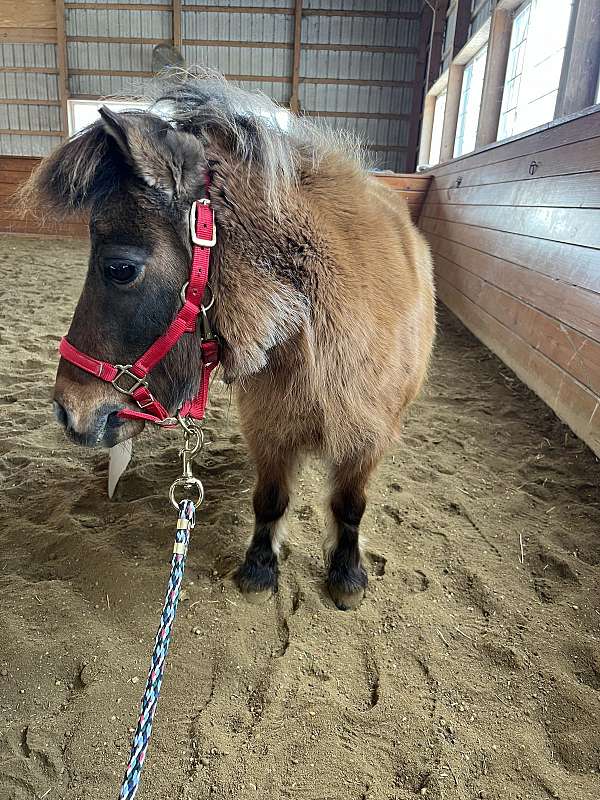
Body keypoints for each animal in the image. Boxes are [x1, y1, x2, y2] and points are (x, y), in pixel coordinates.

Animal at [24, 76, 436, 612]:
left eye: (120, 268)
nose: (66, 409)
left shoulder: (368, 437)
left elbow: (349, 506)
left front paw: (347, 574)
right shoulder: (270, 425)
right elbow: (270, 499)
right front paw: (260, 568)